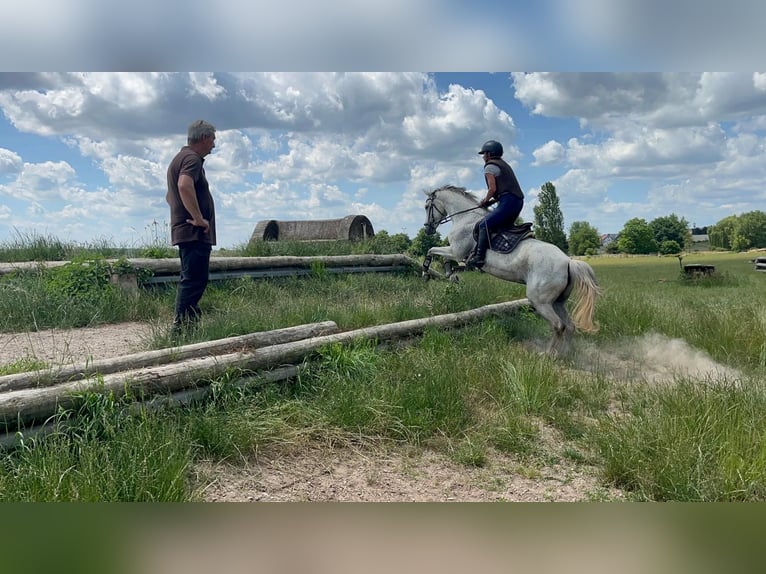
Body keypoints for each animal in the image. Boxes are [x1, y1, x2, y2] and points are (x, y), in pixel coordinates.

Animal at [424, 184, 604, 356]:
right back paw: (564, 353)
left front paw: (426, 273)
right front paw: (450, 274)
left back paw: (548, 354)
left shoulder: (456, 252)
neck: (465, 218)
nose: (427, 229)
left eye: (427, 207)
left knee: (558, 325)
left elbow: (431, 250)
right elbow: (441, 257)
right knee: (570, 326)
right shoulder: (456, 253)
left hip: (540, 301)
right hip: (558, 301)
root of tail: (568, 261)